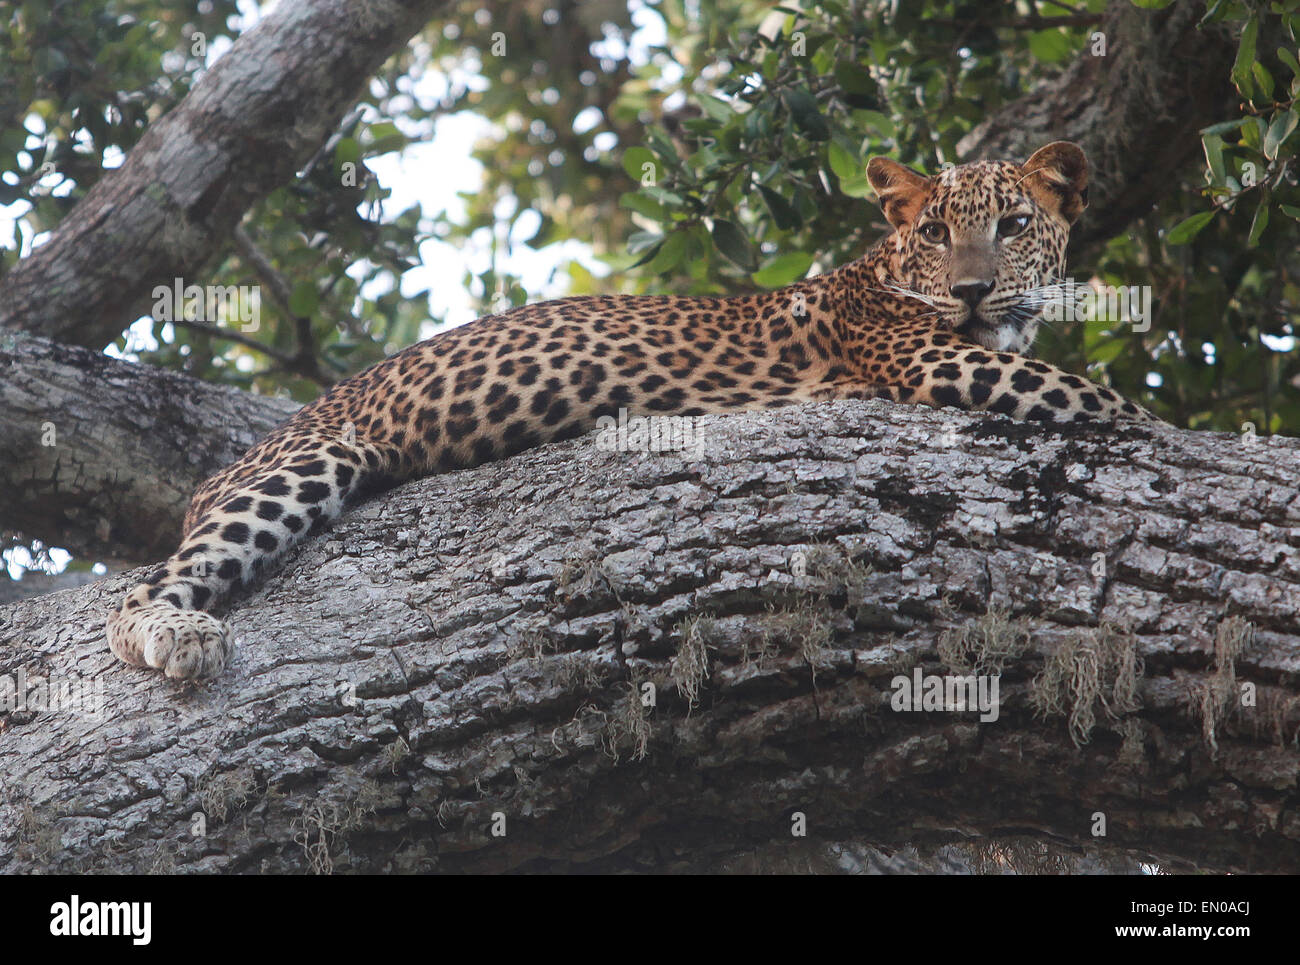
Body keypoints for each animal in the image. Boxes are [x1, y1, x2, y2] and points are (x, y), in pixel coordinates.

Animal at [106, 141, 1154, 681]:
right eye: (936, 231)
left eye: (1013, 225)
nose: (974, 291)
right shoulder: (940, 360)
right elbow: (1113, 404)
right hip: (303, 463)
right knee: (142, 587)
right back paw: (177, 635)